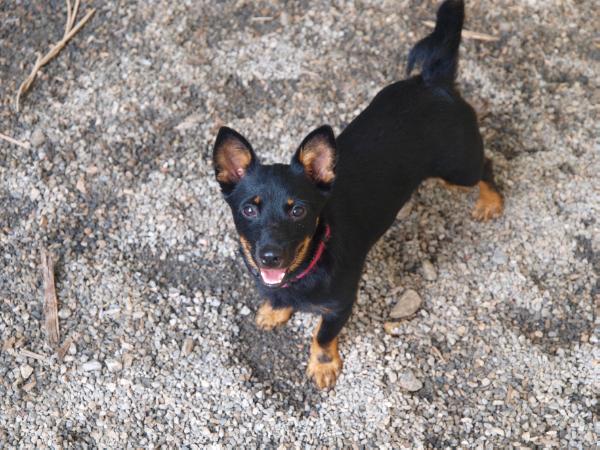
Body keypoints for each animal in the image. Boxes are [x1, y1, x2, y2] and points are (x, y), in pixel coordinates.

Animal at [213, 0, 504, 388]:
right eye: (249, 209)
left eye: (298, 210)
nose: (270, 256)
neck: (308, 262)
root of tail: (433, 80)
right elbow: (278, 299)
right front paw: (275, 311)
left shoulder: (341, 307)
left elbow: (321, 336)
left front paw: (323, 366)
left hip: (458, 171)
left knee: (486, 165)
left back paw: (491, 202)